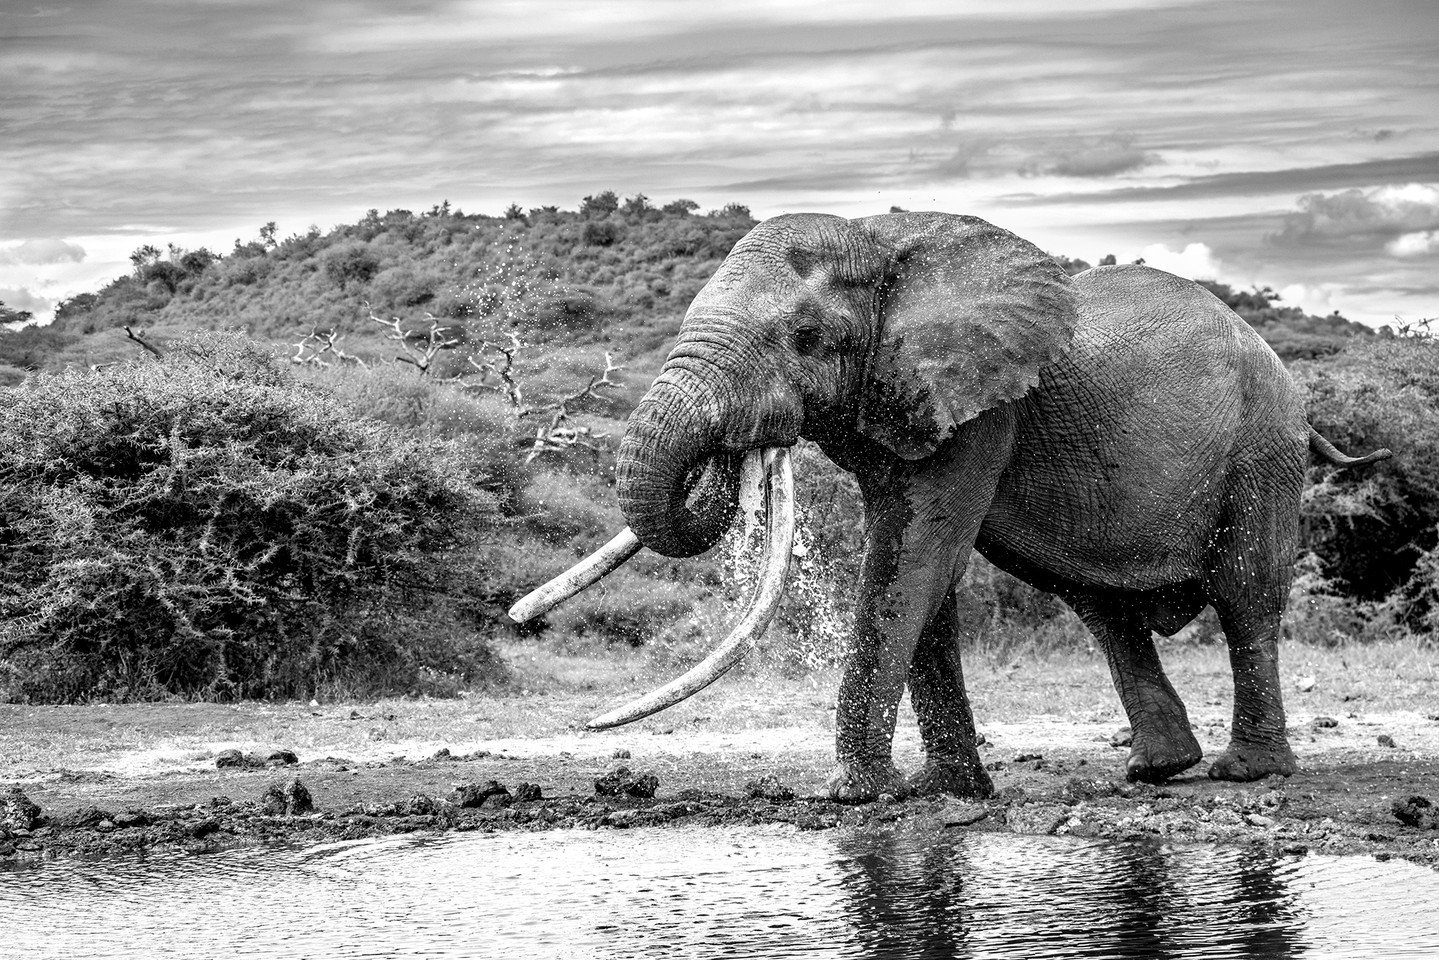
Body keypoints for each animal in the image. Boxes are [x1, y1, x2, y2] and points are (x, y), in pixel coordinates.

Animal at [511, 211, 1388, 803]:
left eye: (805, 337)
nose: (519, 618)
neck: (880, 244)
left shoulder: (979, 410)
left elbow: (913, 557)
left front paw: (857, 795)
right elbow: (917, 570)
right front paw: (948, 792)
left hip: (1262, 445)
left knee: (1244, 596)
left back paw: (1246, 772)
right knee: (1103, 611)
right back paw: (1154, 770)